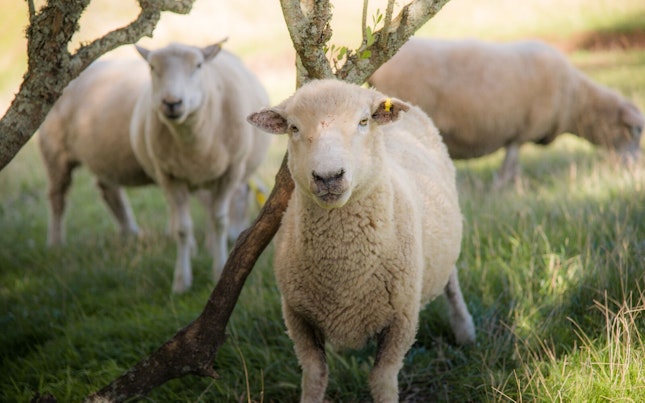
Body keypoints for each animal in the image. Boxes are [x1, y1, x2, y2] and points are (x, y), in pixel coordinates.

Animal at [38, 58, 265, 249]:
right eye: (243, 199)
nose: (235, 237)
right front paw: (191, 244)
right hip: (54, 150)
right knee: (57, 196)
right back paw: (55, 243)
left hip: (102, 154)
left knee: (108, 189)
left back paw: (131, 233)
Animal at [130, 41, 271, 293]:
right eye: (152, 67)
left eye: (198, 65)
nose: (172, 103)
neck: (194, 142)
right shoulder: (170, 176)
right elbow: (183, 229)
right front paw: (181, 281)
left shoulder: (230, 173)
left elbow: (220, 221)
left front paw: (220, 270)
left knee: (212, 213)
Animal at [247, 79, 475, 402]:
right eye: (293, 127)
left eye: (363, 121)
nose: (328, 176)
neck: (343, 269)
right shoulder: (296, 316)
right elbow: (314, 375)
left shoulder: (402, 319)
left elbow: (383, 380)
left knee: (451, 280)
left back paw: (465, 330)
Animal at [368, 38, 644, 186]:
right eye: (635, 131)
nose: (636, 167)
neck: (576, 101)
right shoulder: (521, 132)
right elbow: (510, 165)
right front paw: (504, 188)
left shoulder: (518, 132)